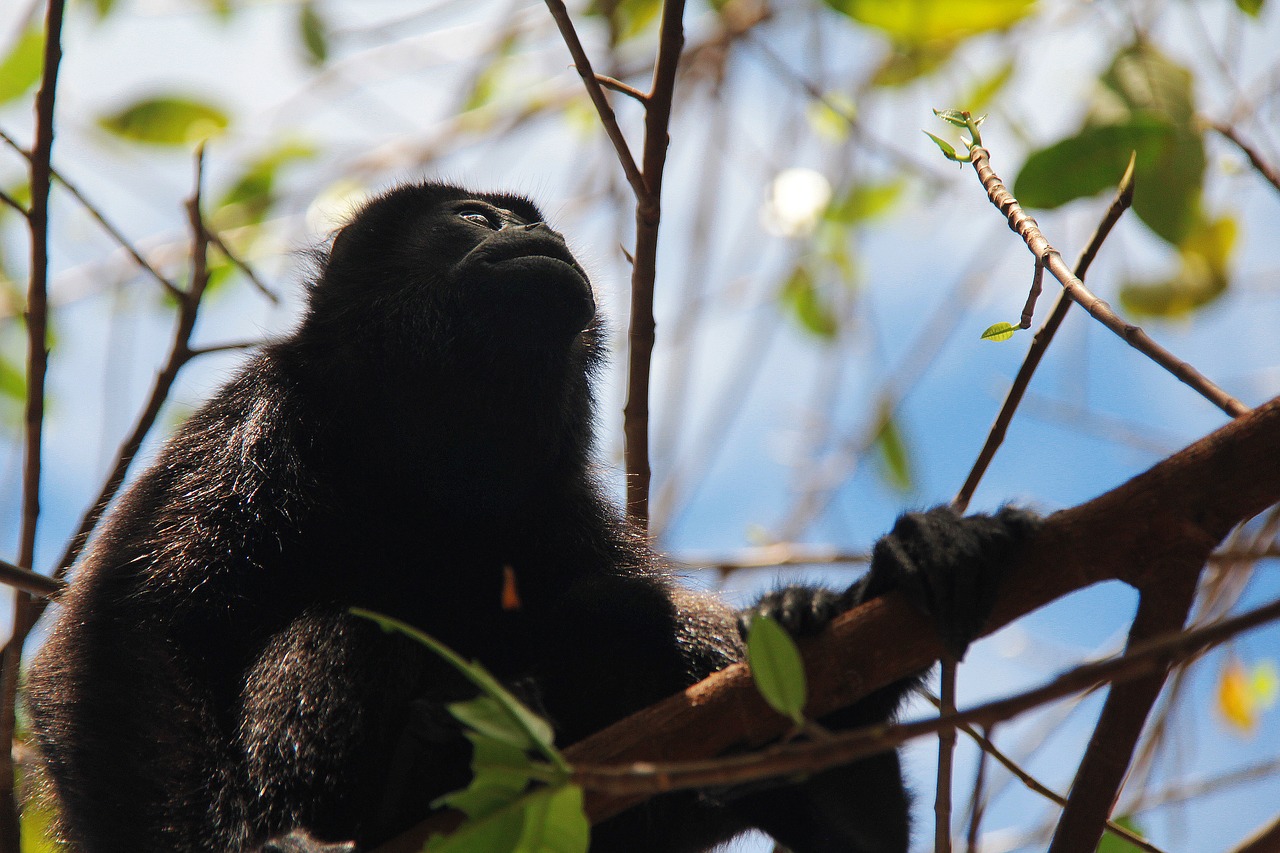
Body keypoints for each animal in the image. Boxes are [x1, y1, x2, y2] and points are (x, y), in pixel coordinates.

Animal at [22, 180, 1039, 850]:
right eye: (475, 217)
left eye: (532, 218)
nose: (536, 228)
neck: (432, 446)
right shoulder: (254, 423)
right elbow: (134, 636)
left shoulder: (561, 492)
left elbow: (640, 603)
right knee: (344, 630)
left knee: (620, 615)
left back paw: (842, 735)